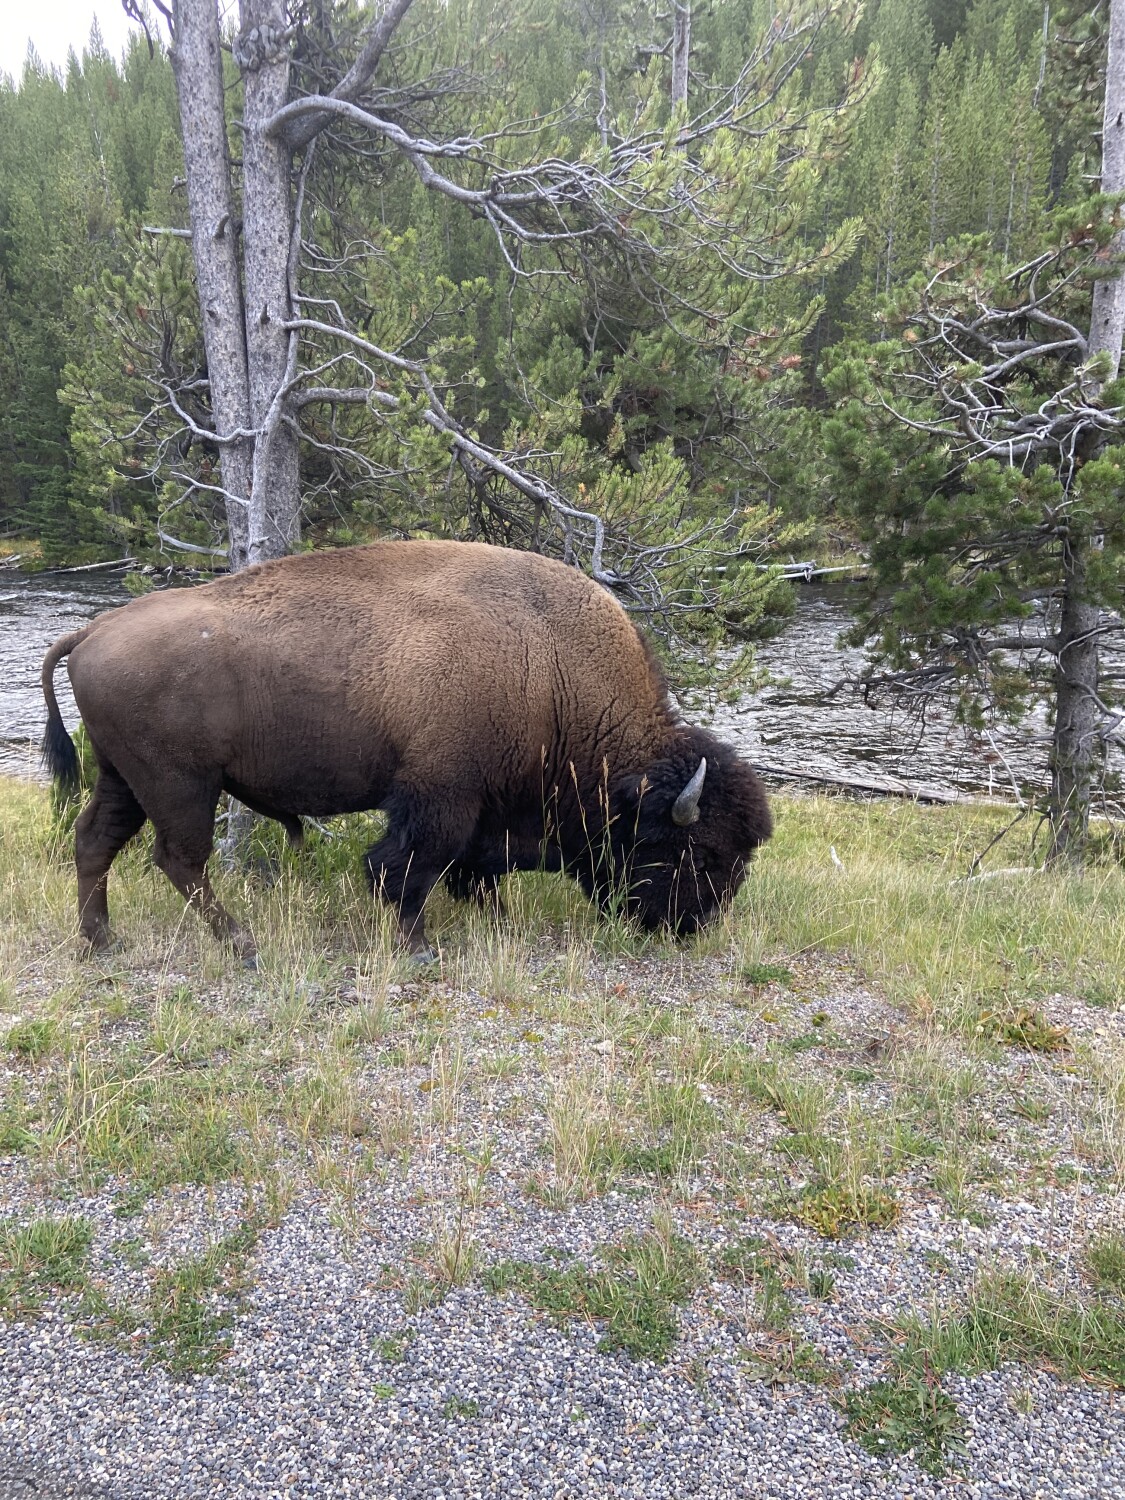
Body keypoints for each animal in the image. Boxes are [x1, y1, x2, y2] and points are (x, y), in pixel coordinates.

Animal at [42, 541, 772, 961]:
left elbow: (469, 870)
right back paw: (242, 945)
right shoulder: (439, 795)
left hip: (124, 777)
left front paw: (493, 922)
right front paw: (418, 947)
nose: (694, 925)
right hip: (180, 785)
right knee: (178, 859)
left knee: (96, 841)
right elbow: (408, 867)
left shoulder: (479, 807)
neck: (546, 666)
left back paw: (103, 942)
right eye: (700, 851)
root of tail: (93, 629)